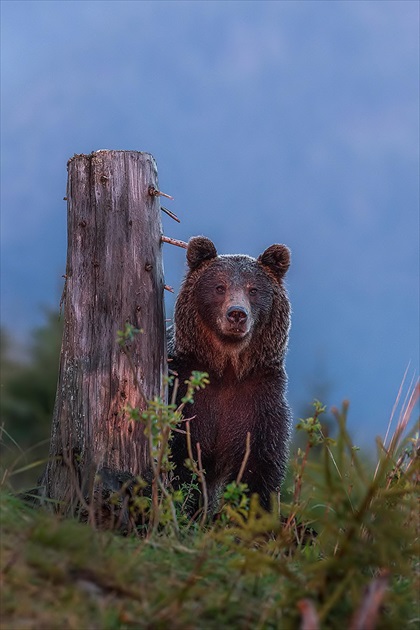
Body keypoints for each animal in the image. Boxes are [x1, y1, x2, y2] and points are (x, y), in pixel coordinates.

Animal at [168, 236, 292, 512]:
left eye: (253, 289)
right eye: (219, 287)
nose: (237, 313)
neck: (227, 370)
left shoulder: (258, 401)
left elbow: (259, 468)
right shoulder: (186, 391)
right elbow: (181, 458)